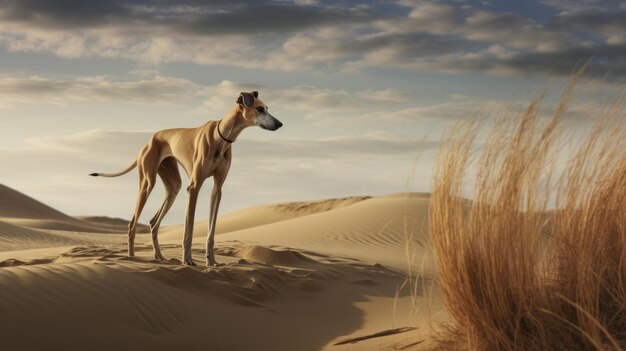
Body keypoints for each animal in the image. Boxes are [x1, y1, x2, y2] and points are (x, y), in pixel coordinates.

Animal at [89, 92, 282, 266]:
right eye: (259, 109)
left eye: (267, 108)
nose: (280, 124)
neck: (221, 137)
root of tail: (149, 140)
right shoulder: (194, 187)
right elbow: (188, 230)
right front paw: (187, 260)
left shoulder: (217, 189)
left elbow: (211, 231)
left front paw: (211, 261)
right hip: (147, 183)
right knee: (132, 224)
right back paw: (131, 257)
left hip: (173, 186)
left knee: (153, 222)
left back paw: (159, 257)